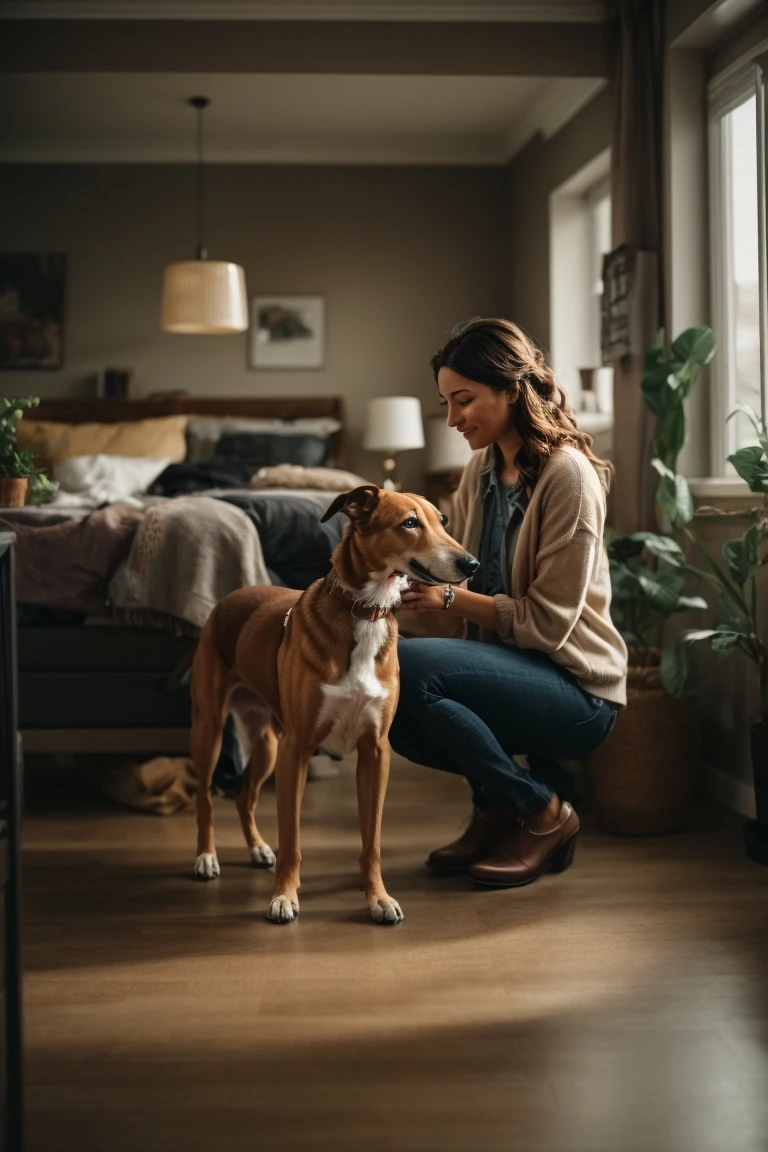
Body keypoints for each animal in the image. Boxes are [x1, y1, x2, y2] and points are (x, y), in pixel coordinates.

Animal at [188, 486, 476, 926]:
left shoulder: (375, 751)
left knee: (245, 796)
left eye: (442, 521)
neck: (366, 611)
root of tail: (231, 597)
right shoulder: (297, 751)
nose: (471, 564)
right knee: (205, 797)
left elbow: (372, 840)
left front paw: (378, 898)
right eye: (409, 523)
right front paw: (284, 897)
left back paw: (257, 847)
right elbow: (291, 839)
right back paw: (206, 857)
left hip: (268, 743)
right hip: (212, 730)